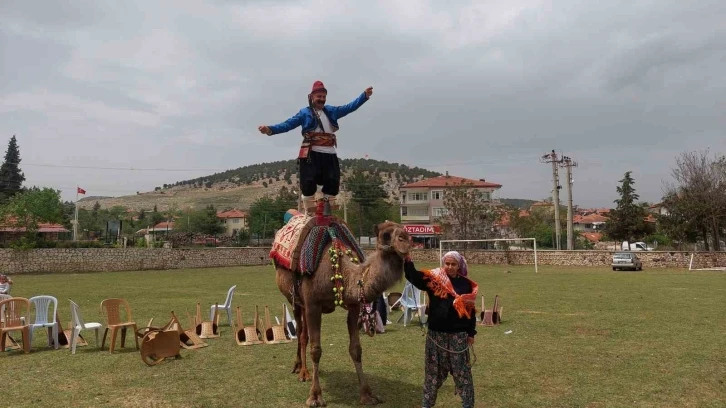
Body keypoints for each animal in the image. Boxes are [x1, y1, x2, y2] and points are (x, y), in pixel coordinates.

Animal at [276, 218, 412, 406]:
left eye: (406, 232)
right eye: (385, 235)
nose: (405, 242)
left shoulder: (354, 306)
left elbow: (356, 349)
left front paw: (367, 394)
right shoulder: (312, 304)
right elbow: (316, 349)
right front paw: (315, 396)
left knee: (304, 333)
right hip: (295, 300)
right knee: (302, 333)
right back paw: (302, 371)